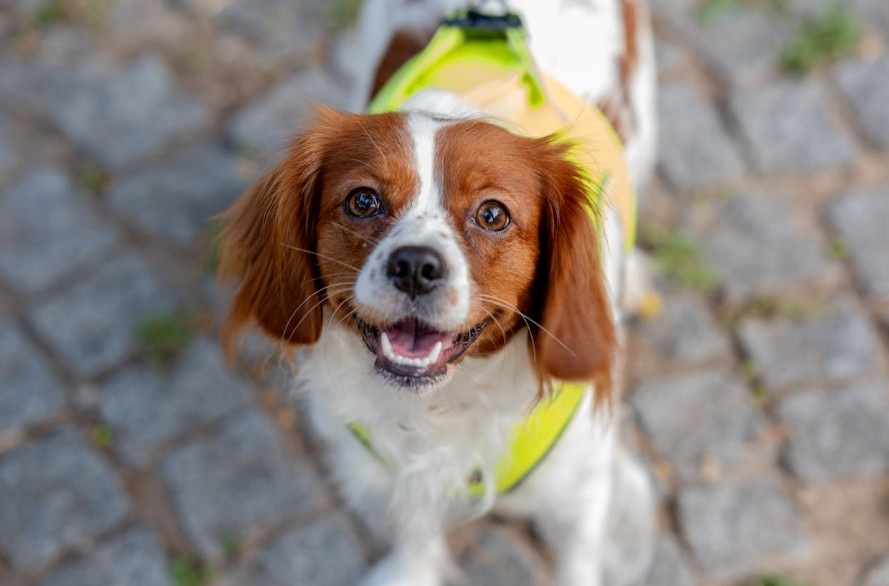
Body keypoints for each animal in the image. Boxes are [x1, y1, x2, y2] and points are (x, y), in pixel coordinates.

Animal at [219, 1, 656, 584]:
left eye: (492, 214)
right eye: (362, 201)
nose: (415, 266)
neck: (447, 402)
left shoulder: (581, 485)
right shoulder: (392, 463)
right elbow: (415, 526)